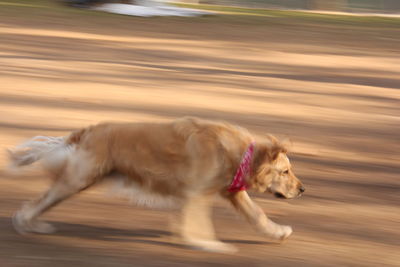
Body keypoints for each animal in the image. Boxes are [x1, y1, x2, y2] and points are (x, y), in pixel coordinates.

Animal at [8, 117, 304, 253]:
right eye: (286, 171)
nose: (303, 189)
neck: (239, 153)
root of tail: (90, 129)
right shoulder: (197, 194)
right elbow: (199, 225)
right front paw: (208, 244)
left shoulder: (232, 192)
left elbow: (257, 215)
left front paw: (278, 232)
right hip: (77, 179)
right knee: (37, 202)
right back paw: (25, 224)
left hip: (79, 180)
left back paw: (33, 225)